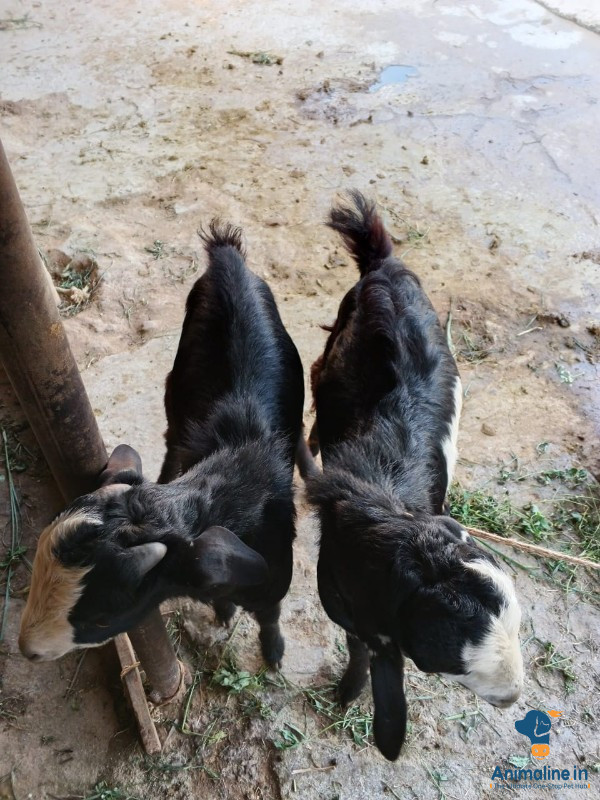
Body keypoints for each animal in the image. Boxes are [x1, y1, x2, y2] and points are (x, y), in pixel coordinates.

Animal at [19, 221, 305, 667]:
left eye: (102, 617)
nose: (26, 649)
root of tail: (227, 259)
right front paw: (225, 609)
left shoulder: (272, 577)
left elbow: (270, 613)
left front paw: (273, 650)